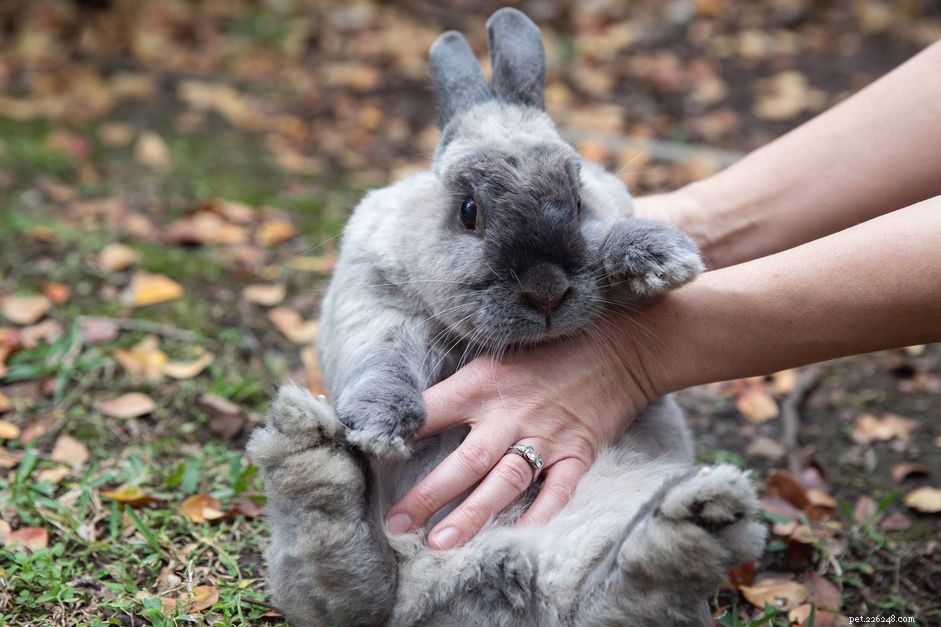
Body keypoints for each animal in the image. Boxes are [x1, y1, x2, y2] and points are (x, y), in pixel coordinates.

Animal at [247, 8, 766, 626]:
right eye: (468, 211)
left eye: (577, 198)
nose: (546, 289)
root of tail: (481, 572)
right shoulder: (371, 303)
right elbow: (381, 360)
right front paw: (380, 425)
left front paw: (658, 255)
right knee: (349, 588)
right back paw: (311, 452)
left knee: (618, 598)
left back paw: (700, 513)